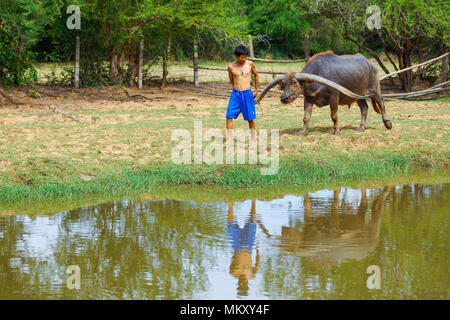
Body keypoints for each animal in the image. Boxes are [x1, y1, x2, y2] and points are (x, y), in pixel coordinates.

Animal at [258, 51, 392, 135]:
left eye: (295, 82)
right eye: (283, 84)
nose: (284, 98)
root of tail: (371, 64)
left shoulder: (334, 98)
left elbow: (334, 116)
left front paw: (336, 131)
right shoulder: (308, 100)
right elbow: (306, 117)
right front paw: (303, 132)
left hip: (375, 88)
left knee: (381, 103)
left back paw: (388, 123)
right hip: (359, 95)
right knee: (364, 108)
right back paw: (361, 128)